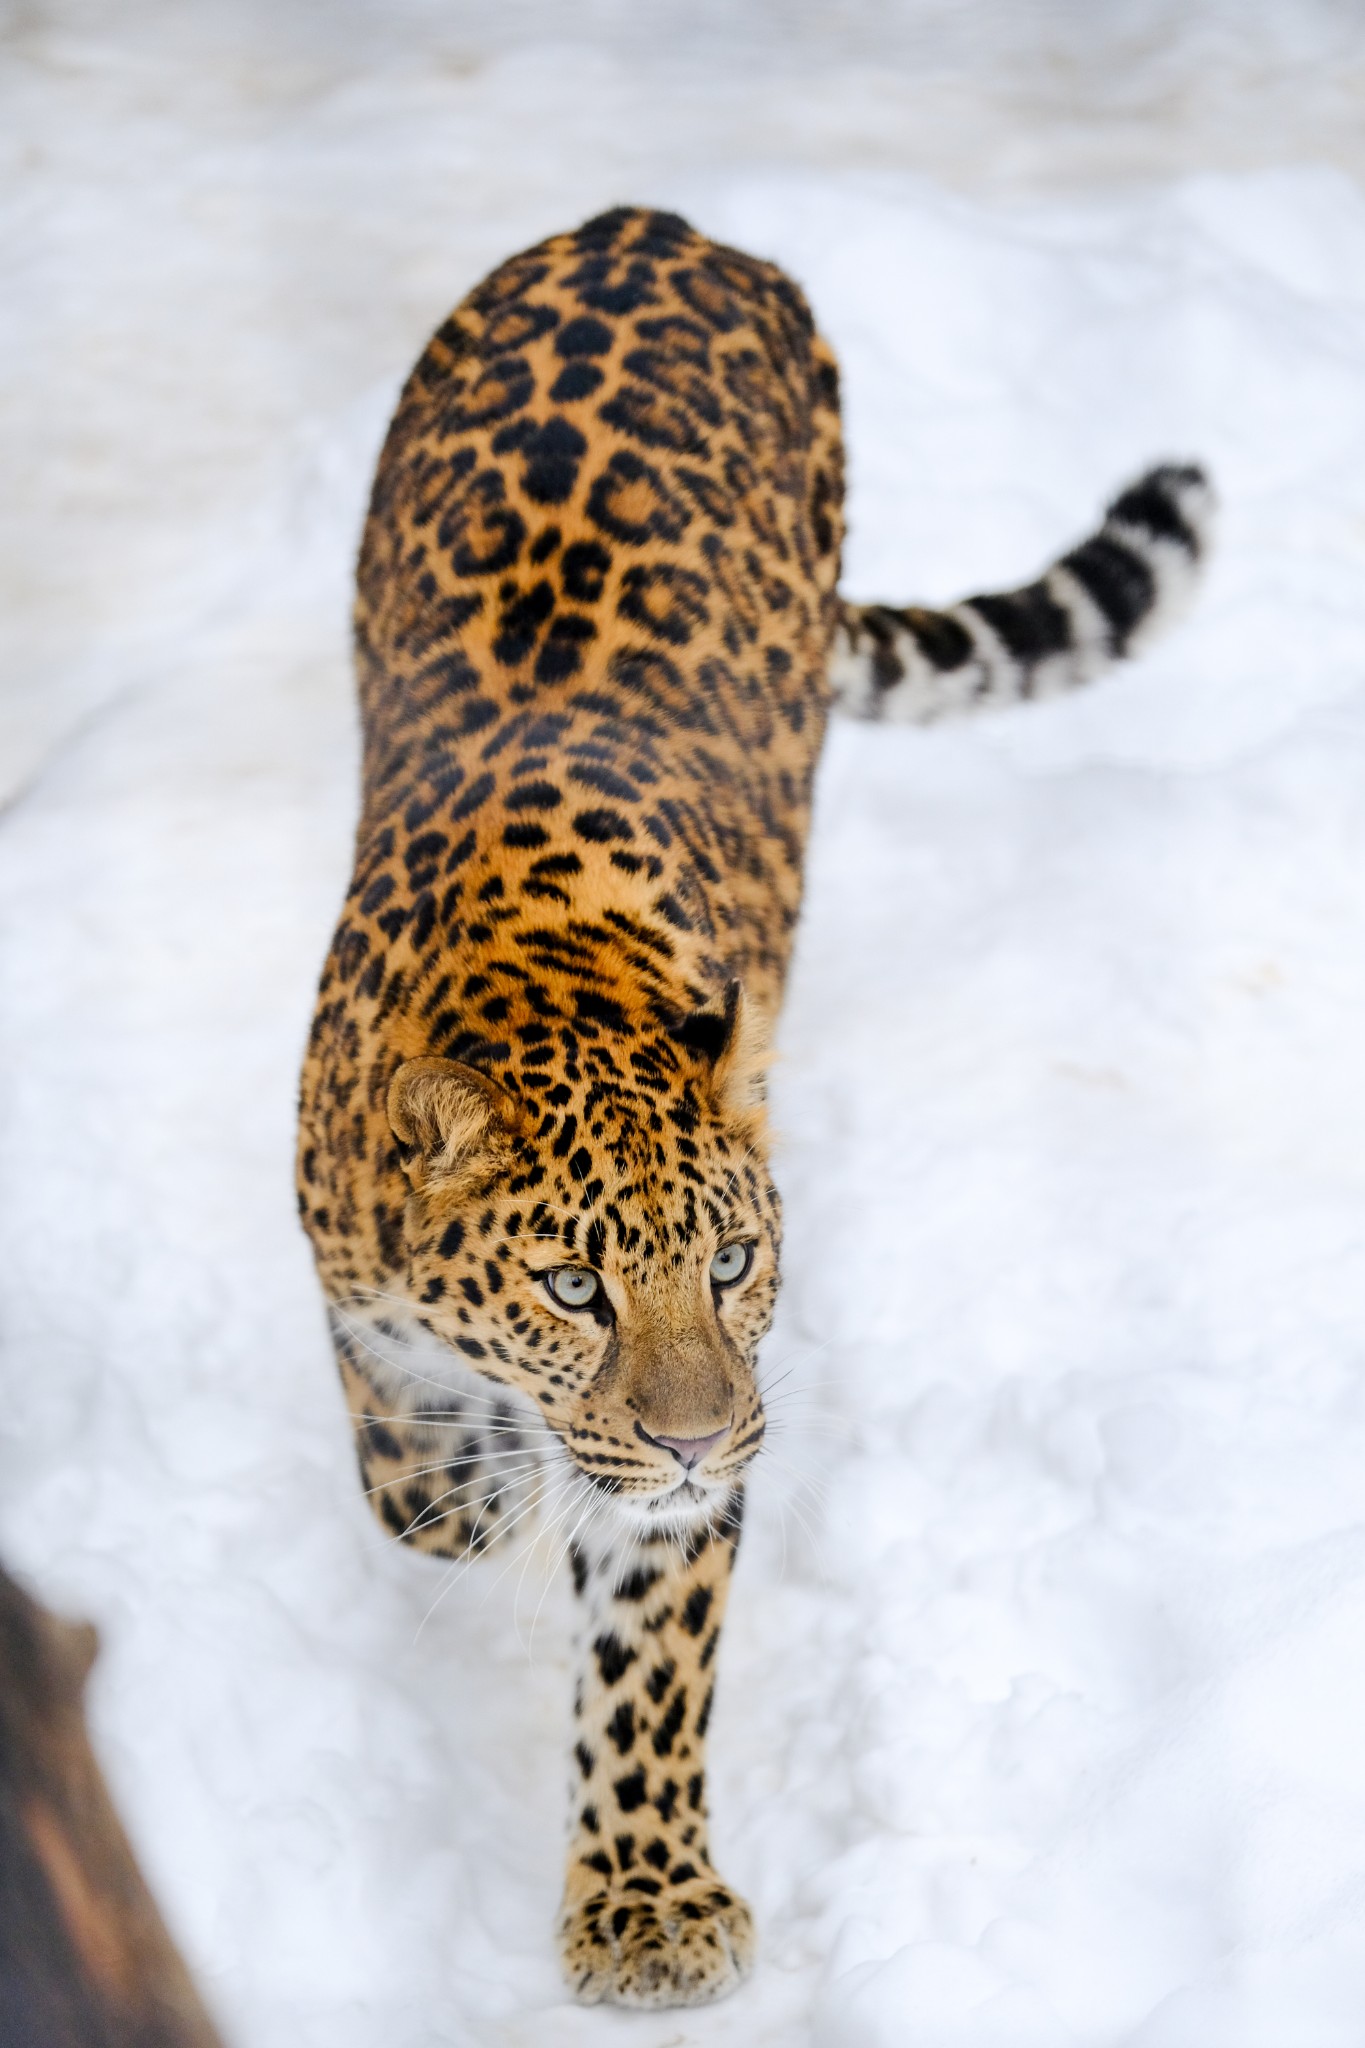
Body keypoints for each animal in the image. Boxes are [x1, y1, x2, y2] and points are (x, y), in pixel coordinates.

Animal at [298, 203, 1219, 1998]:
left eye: (728, 1264)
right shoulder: (353, 1291)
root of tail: (648, 223)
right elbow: (423, 1489)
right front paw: (485, 1483)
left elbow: (647, 1665)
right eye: (572, 1284)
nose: (692, 1433)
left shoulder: (688, 1484)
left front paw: (647, 1905)